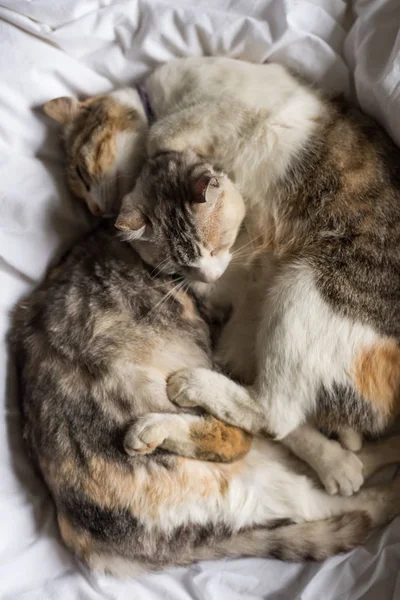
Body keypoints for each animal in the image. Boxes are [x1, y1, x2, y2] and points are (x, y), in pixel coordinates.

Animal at [12, 146, 400, 576]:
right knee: (266, 451)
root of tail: (88, 538)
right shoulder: (223, 337)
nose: (209, 276)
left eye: (214, 246)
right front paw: (334, 459)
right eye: (177, 267)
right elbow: (277, 415)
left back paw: (372, 454)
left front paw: (341, 444)